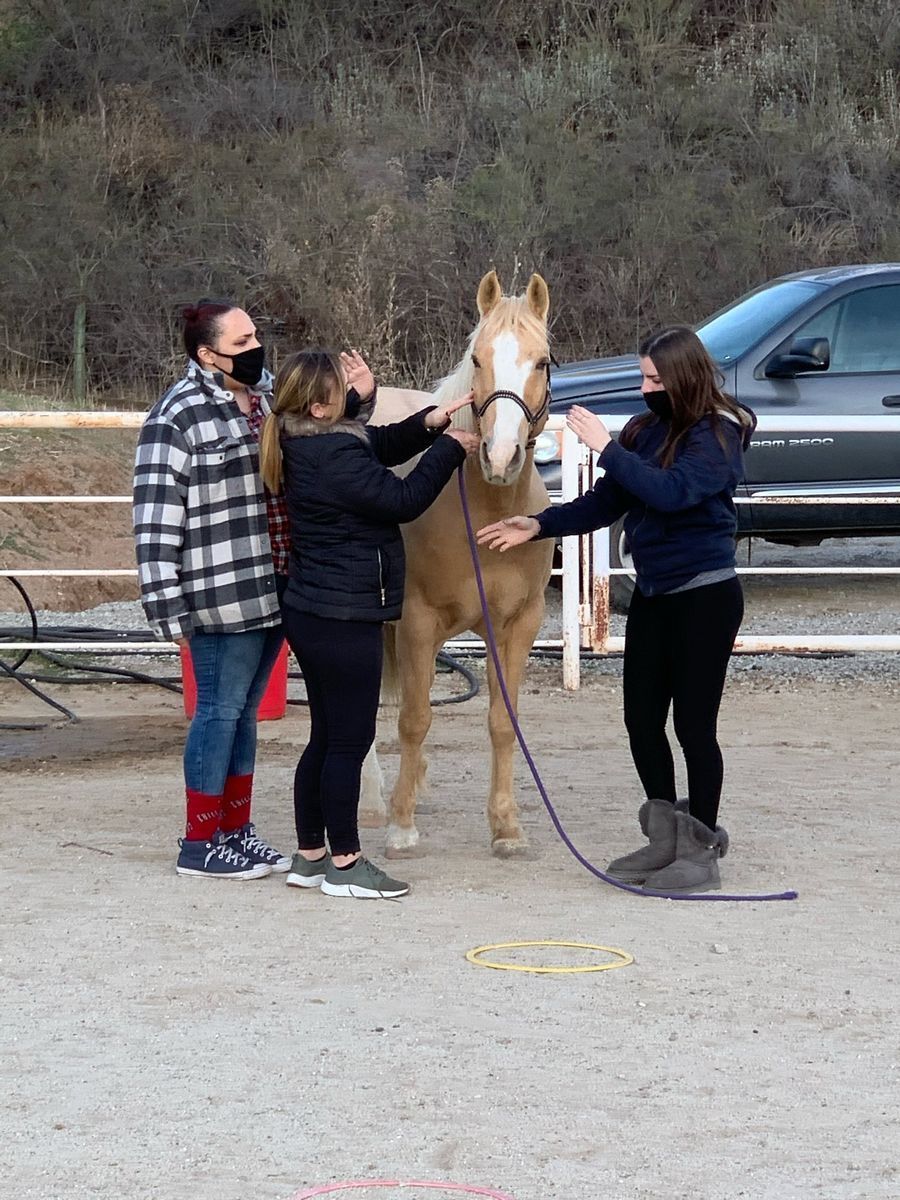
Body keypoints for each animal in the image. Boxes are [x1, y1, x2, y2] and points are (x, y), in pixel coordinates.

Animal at [360, 270, 554, 857]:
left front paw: (506, 826)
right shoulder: (418, 622)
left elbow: (501, 722)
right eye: (477, 358)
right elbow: (415, 718)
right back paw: (373, 802)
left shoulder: (517, 626)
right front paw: (401, 826)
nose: (500, 456)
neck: (484, 510)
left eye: (542, 362)